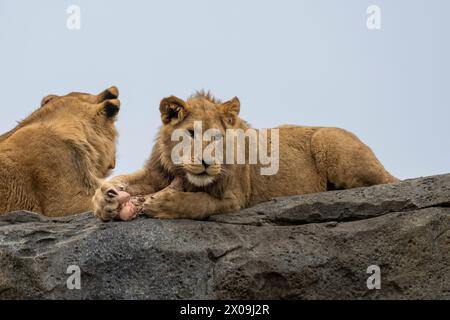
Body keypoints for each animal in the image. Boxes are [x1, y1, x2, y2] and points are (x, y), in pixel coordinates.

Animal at [92, 92, 398, 220]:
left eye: (216, 137)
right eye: (190, 133)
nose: (206, 163)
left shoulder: (235, 197)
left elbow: (198, 203)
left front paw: (163, 204)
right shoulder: (156, 172)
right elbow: (124, 179)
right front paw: (105, 199)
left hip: (327, 139)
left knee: (382, 183)